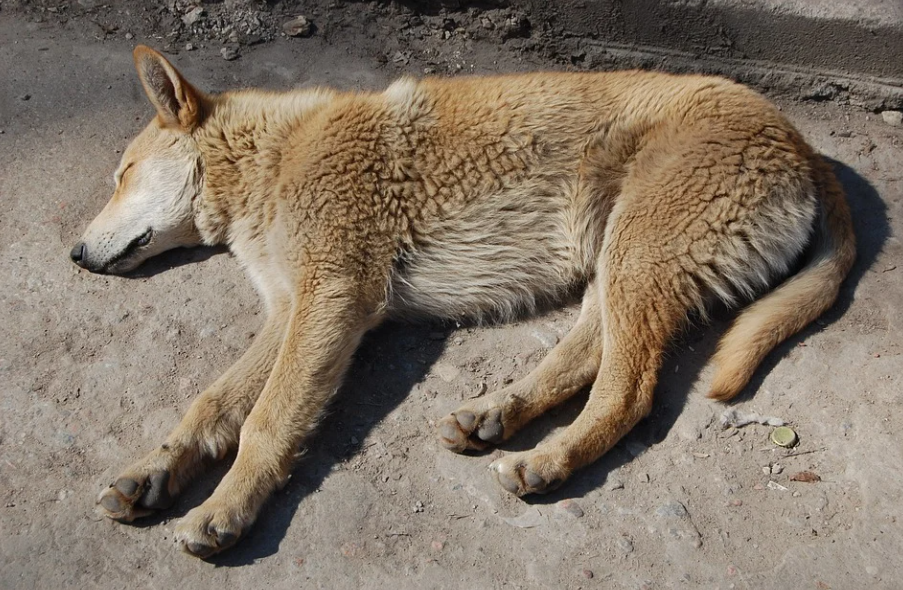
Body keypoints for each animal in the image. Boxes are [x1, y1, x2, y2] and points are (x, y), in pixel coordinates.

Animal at [72, 47, 856, 560]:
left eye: (122, 174)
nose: (74, 255)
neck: (272, 158)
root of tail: (799, 141)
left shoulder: (330, 299)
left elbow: (266, 421)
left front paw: (226, 508)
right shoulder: (291, 308)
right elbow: (212, 405)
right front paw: (154, 472)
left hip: (637, 258)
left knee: (628, 392)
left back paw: (548, 460)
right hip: (617, 262)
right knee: (586, 357)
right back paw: (497, 414)